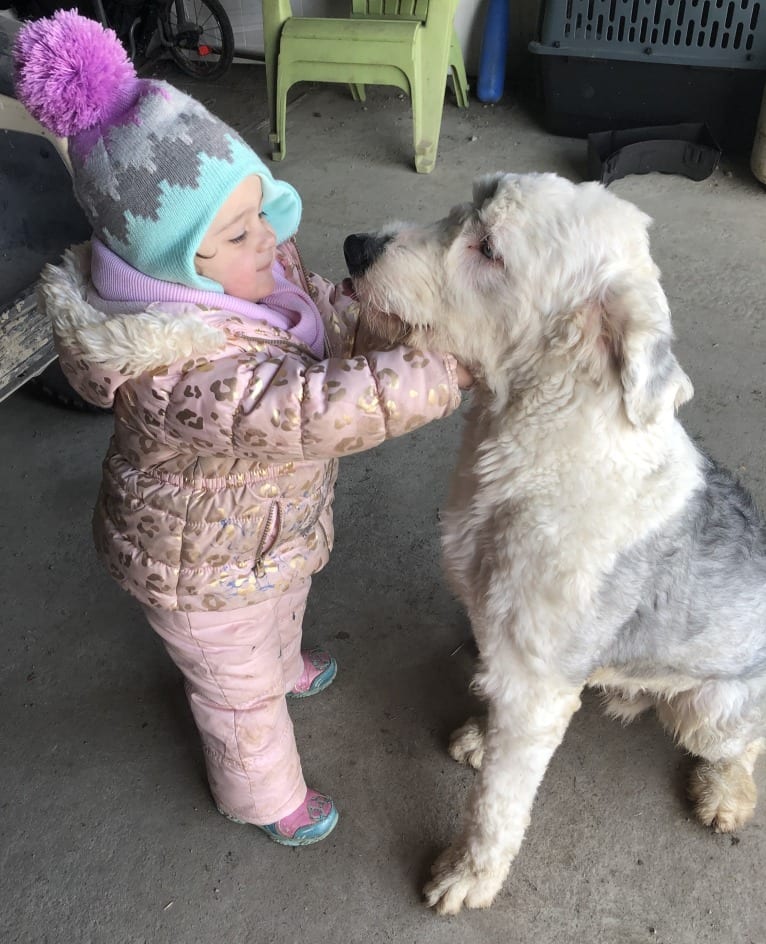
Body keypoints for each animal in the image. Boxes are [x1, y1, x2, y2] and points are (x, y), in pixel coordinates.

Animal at [346, 171, 766, 916]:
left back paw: (724, 794)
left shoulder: (535, 682)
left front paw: (468, 875)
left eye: (489, 248)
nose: (355, 248)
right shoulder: (505, 642)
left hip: (714, 709)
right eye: (461, 210)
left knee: (746, 744)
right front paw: (482, 737)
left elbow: (499, 801)